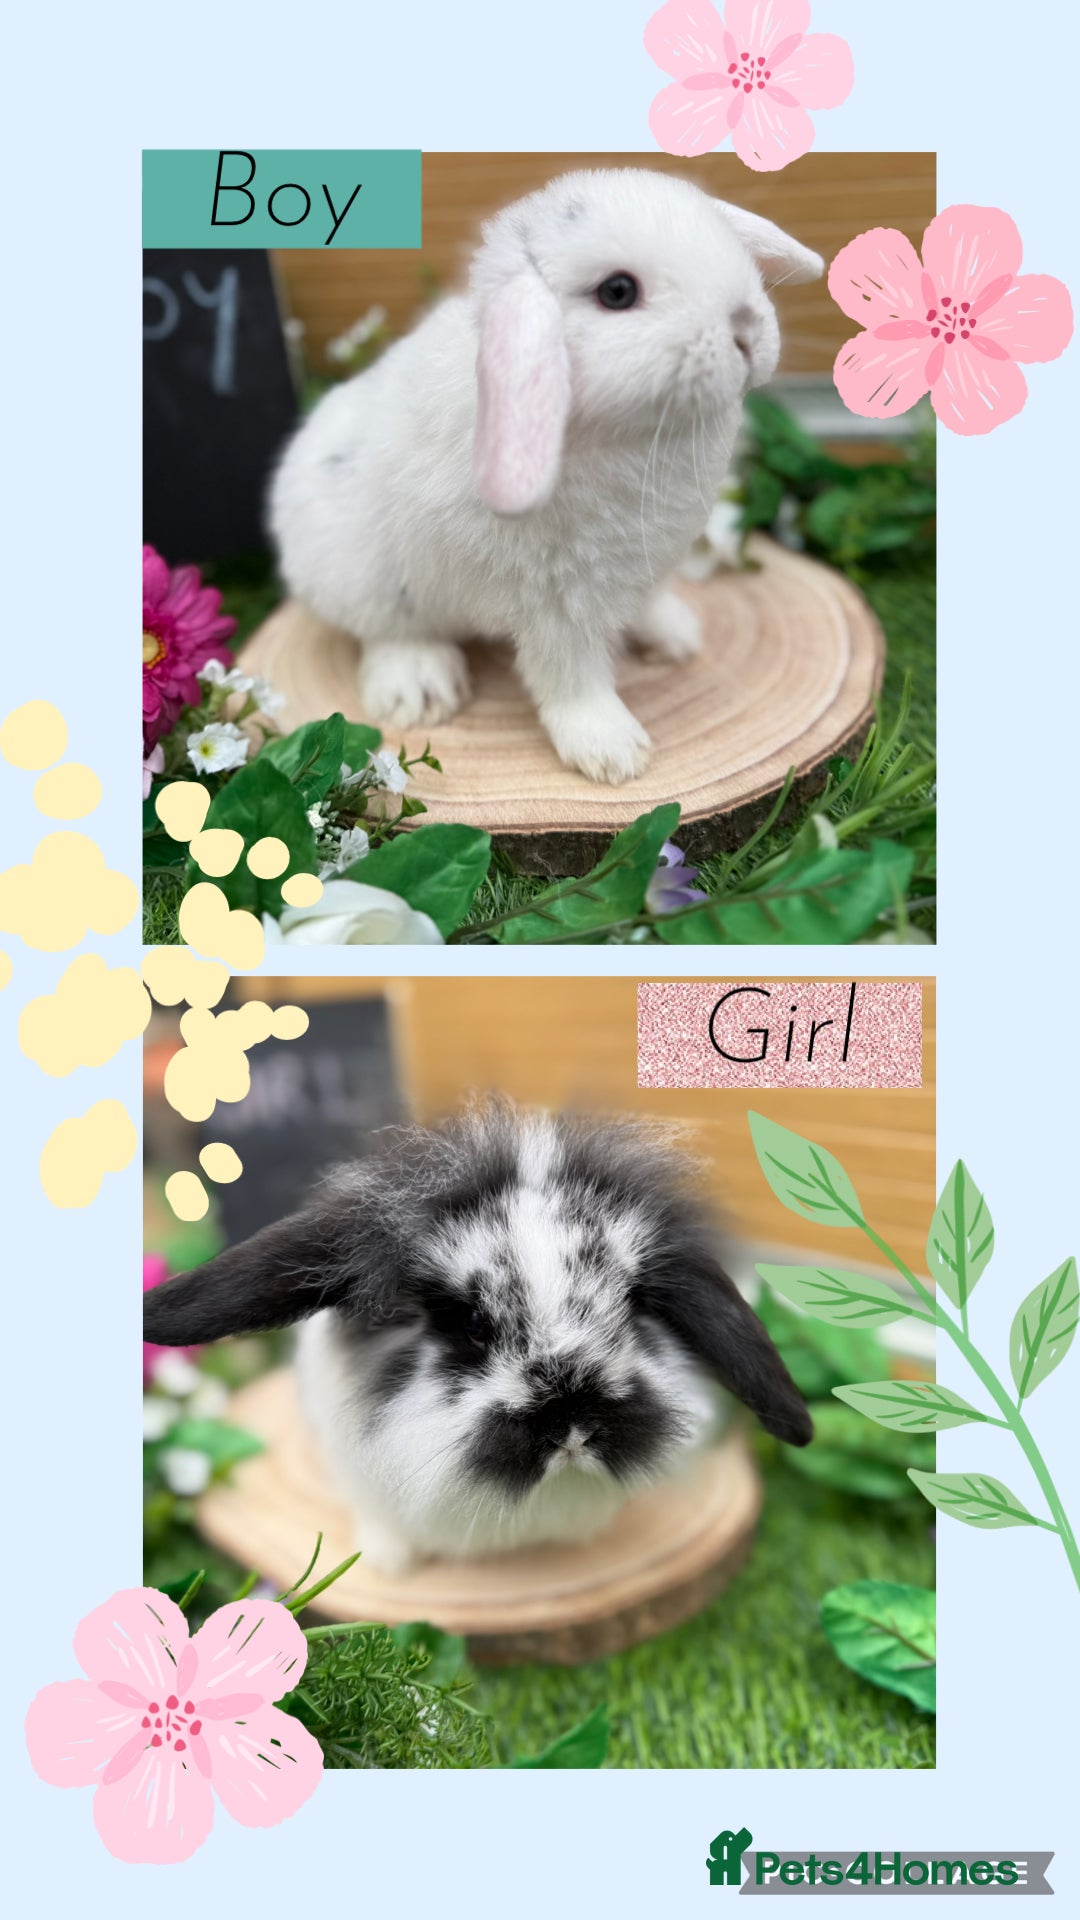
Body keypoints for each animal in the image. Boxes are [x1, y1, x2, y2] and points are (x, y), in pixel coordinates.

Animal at [269, 168, 822, 785]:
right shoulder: (556, 600)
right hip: (367, 582)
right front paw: (613, 754)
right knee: (387, 631)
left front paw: (674, 635)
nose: (746, 328)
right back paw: (420, 688)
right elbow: (570, 675)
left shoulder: (642, 565)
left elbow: (645, 603)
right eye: (617, 292)